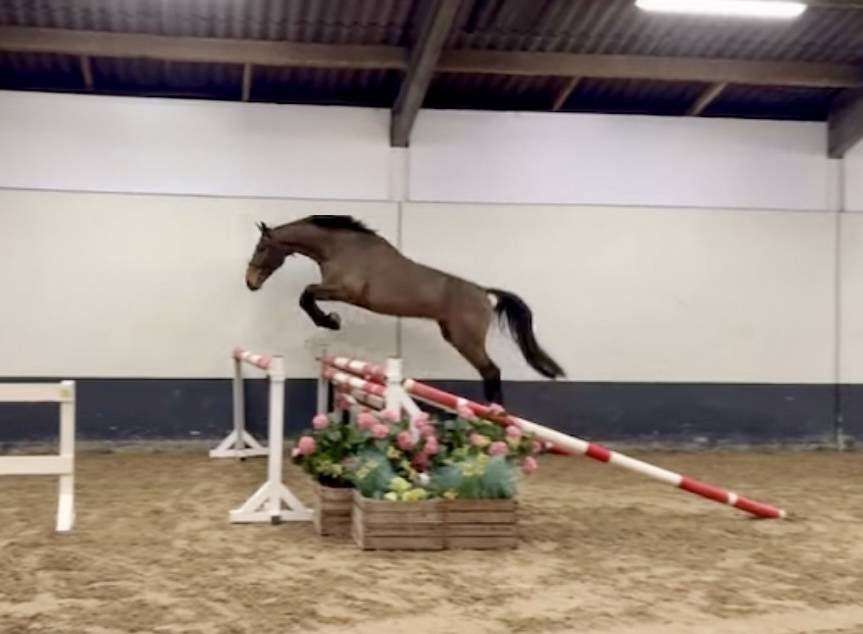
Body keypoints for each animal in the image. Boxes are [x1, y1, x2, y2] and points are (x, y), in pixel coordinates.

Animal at [244, 215, 565, 405]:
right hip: (453, 335)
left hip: (466, 341)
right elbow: (306, 296)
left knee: (492, 371)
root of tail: (484, 293)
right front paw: (330, 320)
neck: (339, 247)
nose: (250, 282)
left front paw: (330, 321)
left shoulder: (343, 291)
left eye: (261, 248)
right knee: (489, 373)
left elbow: (306, 295)